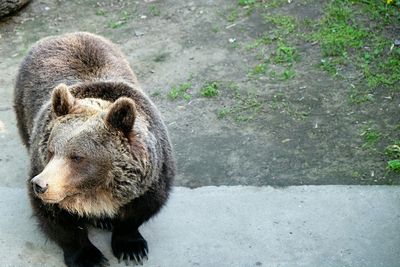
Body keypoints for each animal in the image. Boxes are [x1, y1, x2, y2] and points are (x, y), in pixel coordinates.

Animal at [13, 31, 175, 267]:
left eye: (77, 157)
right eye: (51, 151)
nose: (40, 185)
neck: (97, 189)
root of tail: (64, 34)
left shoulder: (151, 178)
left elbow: (139, 211)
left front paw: (131, 248)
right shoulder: (40, 165)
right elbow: (57, 219)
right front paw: (89, 257)